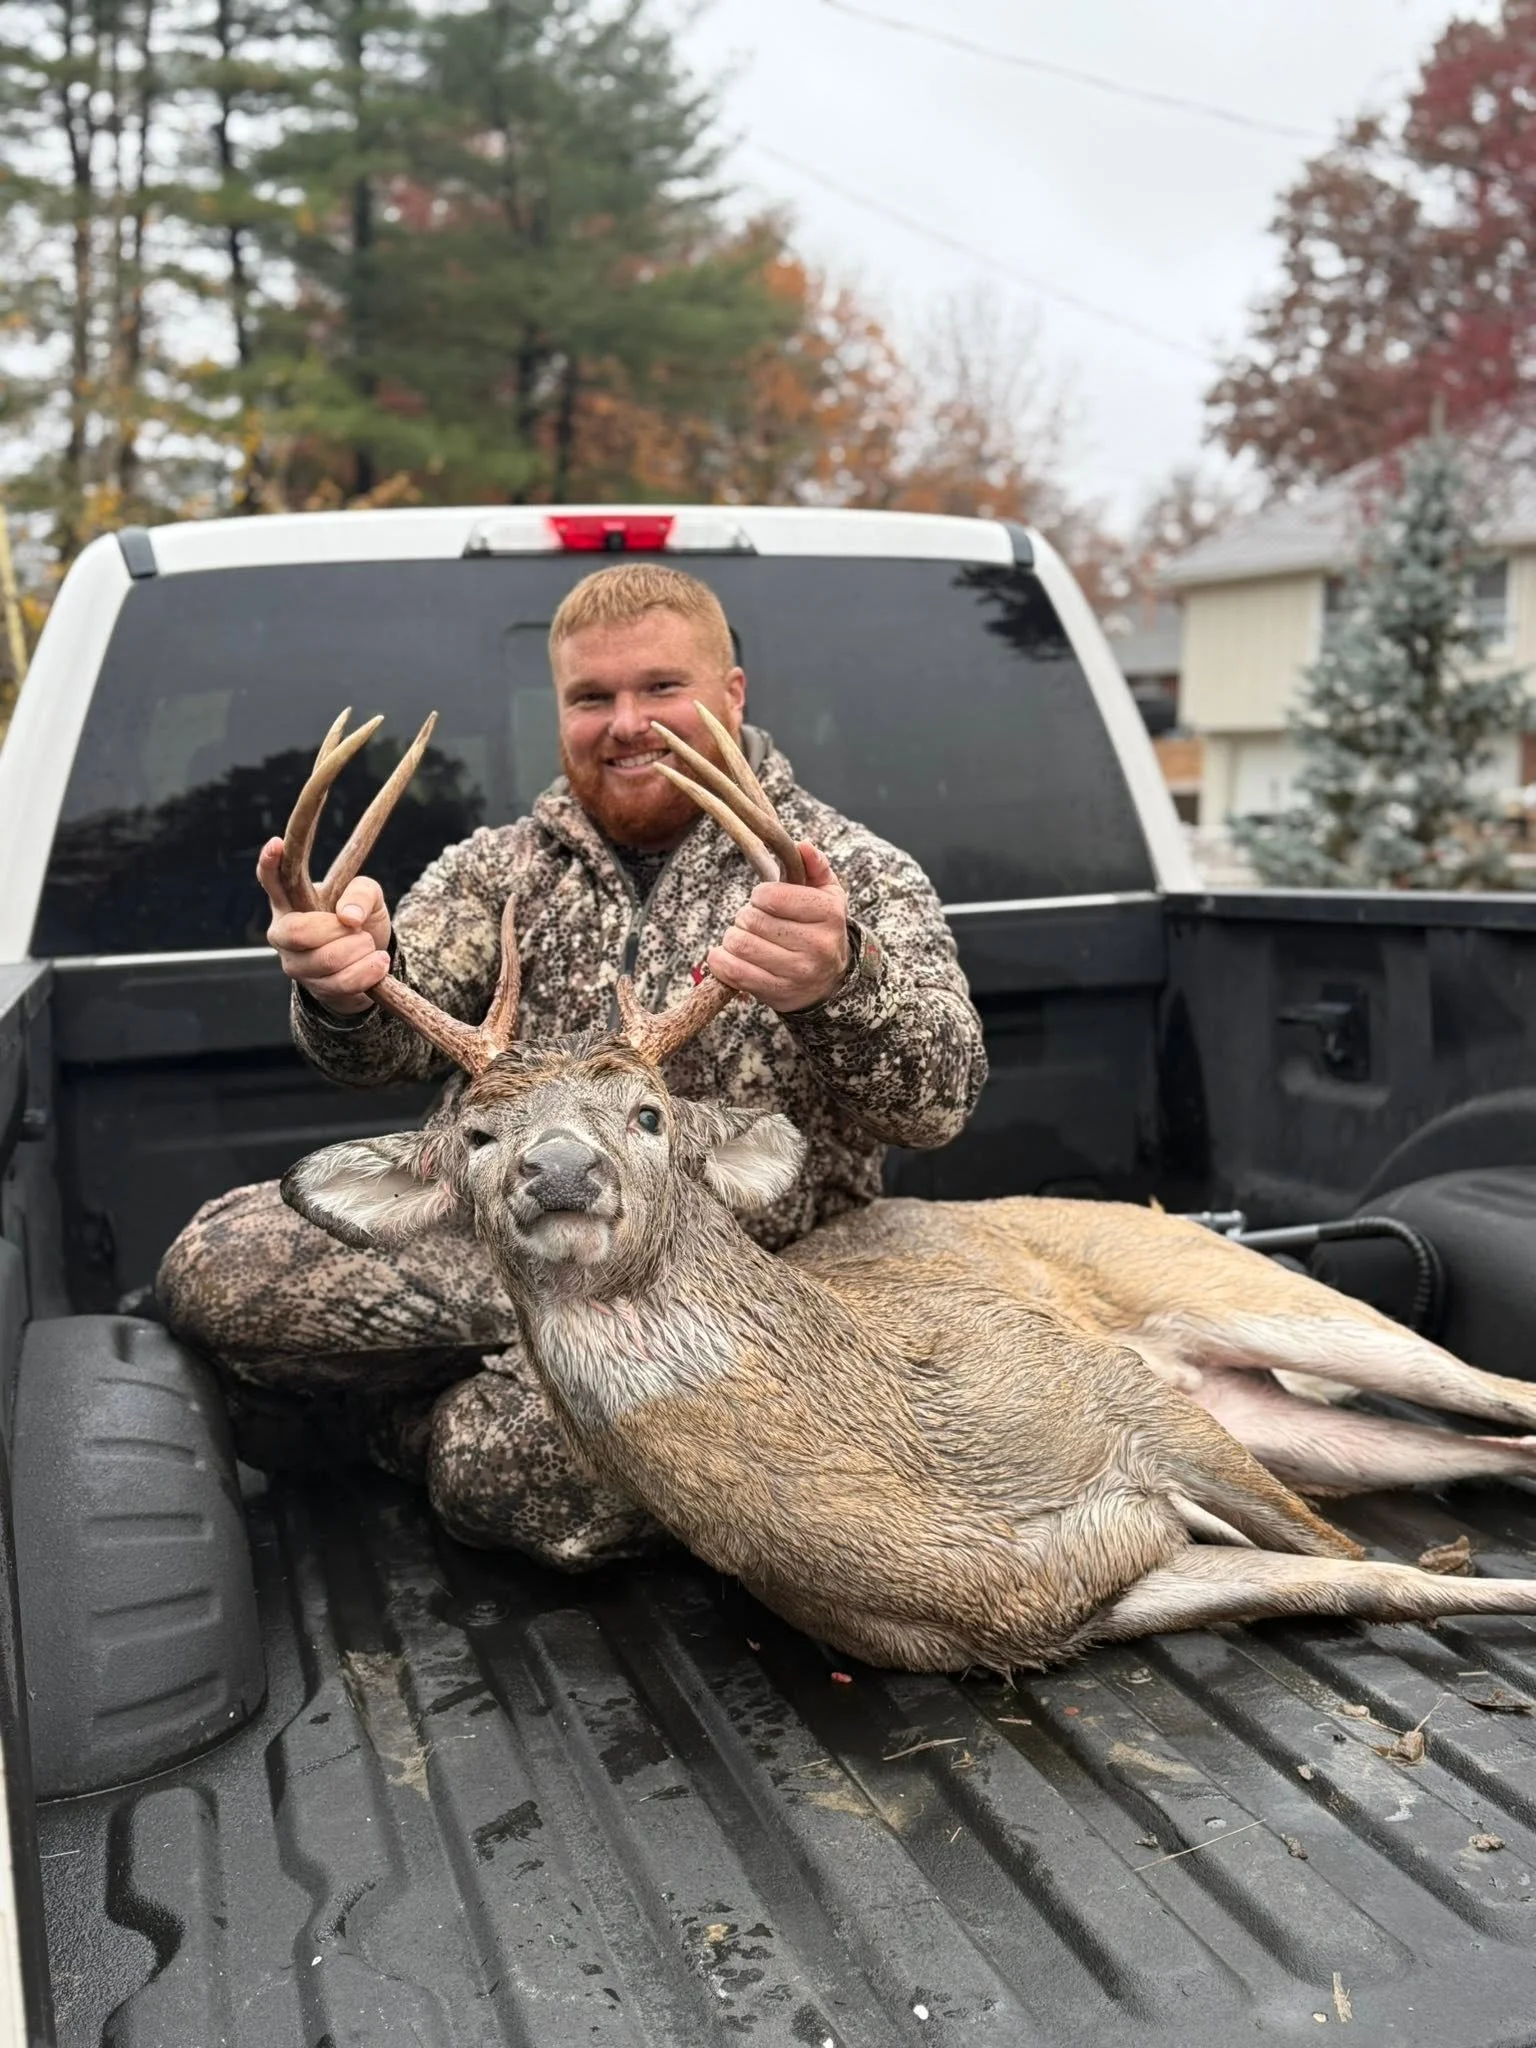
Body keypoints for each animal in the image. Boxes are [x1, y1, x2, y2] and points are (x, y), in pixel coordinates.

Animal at [276, 706, 1536, 1673]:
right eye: (479, 1134)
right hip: (1282, 1416)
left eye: (649, 1114)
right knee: (1479, 1446)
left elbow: (1355, 1560)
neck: (924, 1490)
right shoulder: (1089, 1592)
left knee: (1501, 1392)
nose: (561, 1169)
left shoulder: (1127, 1400)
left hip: (1250, 1293)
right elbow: (1364, 1580)